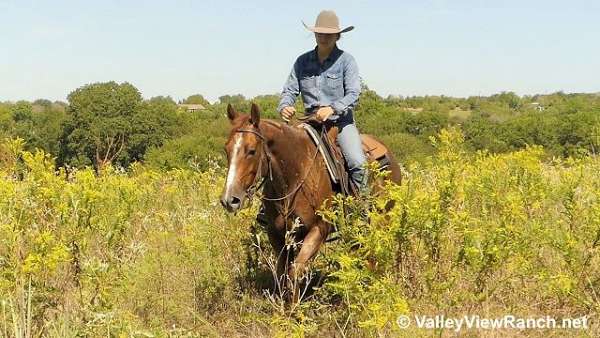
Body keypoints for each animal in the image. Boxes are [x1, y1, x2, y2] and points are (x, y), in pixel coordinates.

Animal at [218, 102, 400, 298]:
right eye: (226, 149)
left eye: (251, 151)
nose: (229, 199)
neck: (294, 175)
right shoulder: (277, 234)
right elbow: (283, 274)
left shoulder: (318, 230)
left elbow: (295, 272)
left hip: (383, 220)